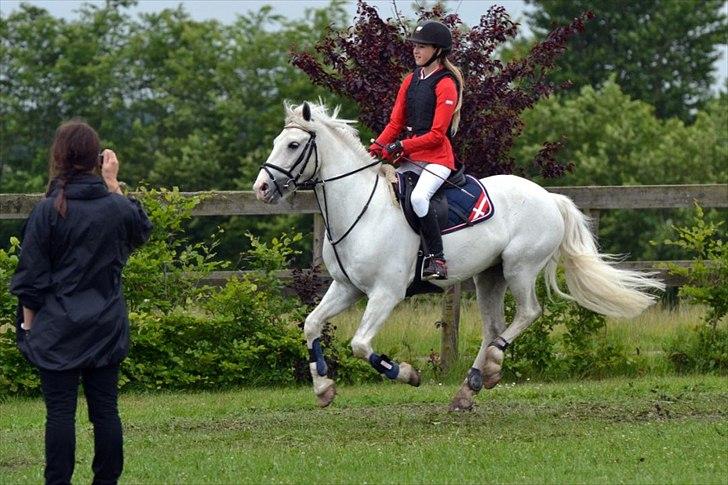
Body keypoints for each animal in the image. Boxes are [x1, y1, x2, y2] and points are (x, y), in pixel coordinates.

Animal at [253, 102, 664, 410]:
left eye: (293, 146)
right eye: (276, 141)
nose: (261, 189)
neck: (361, 208)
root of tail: (549, 197)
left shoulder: (386, 293)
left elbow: (360, 345)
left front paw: (407, 374)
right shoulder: (346, 287)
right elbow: (311, 324)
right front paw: (323, 388)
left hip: (520, 267)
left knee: (528, 313)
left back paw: (492, 367)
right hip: (490, 276)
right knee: (493, 328)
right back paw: (471, 387)